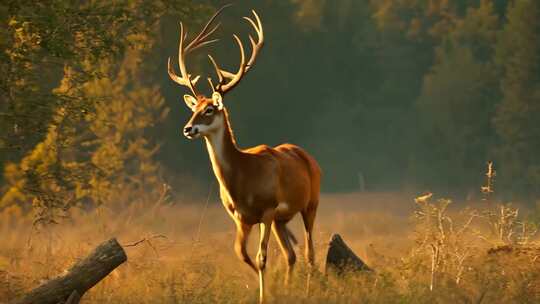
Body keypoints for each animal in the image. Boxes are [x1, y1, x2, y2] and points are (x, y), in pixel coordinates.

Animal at [167, 5, 320, 302]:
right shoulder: (240, 216)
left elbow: (261, 258)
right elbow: (241, 254)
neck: (243, 178)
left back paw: (308, 290)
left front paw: (265, 294)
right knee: (292, 255)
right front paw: (270, 289)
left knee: (309, 252)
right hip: (282, 219)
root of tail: (307, 156)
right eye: (193, 108)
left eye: (210, 109)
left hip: (310, 203)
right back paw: (288, 289)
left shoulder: (268, 209)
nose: (188, 128)